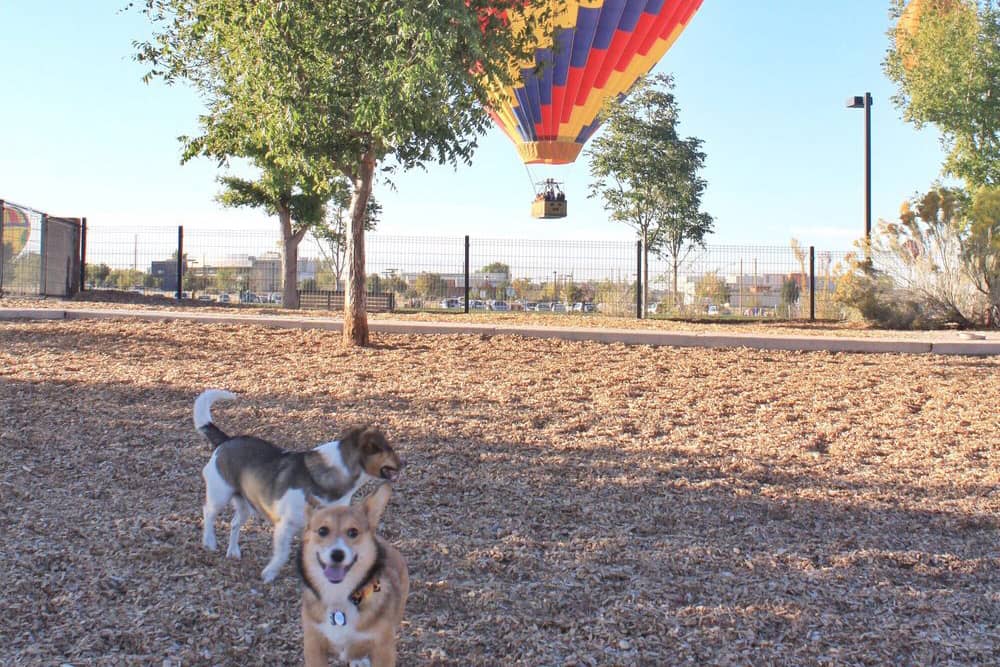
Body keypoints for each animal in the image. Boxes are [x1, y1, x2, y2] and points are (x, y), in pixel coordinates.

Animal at [193, 388, 400, 580]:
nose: (404, 462)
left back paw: (233, 551)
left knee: (235, 523)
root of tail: (226, 440)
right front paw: (270, 573)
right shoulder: (285, 526)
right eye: (388, 449)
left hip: (245, 505)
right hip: (220, 495)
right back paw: (209, 541)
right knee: (208, 513)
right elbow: (282, 554)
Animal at [298, 486, 408, 667]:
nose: (337, 554)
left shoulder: (383, 648)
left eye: (353, 532)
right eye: (322, 530)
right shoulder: (313, 644)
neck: (339, 596)